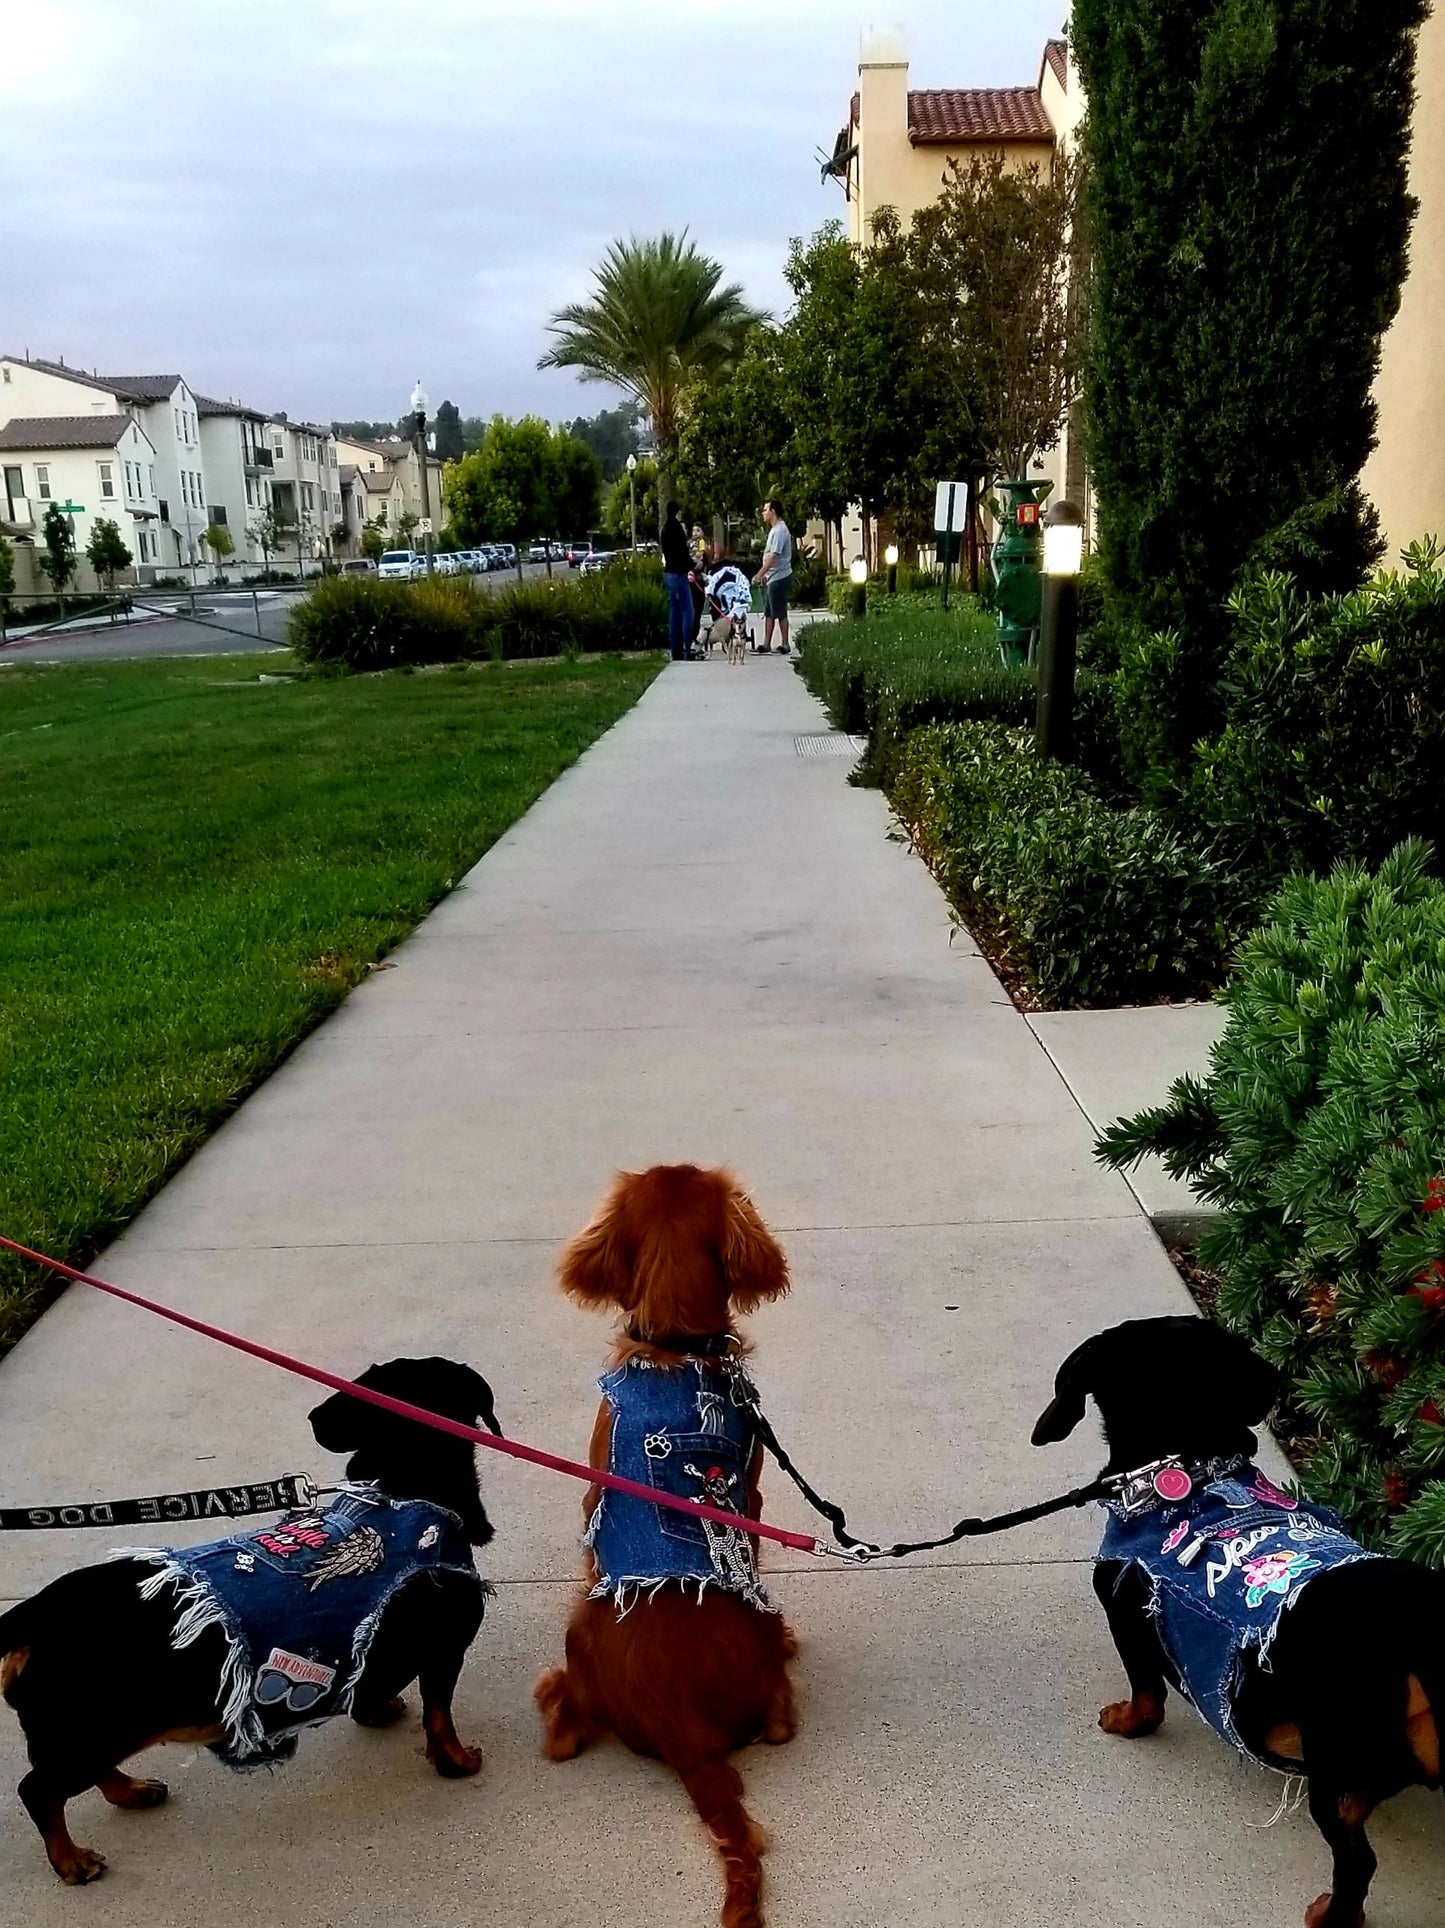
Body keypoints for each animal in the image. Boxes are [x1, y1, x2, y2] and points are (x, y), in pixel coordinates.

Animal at [1, 1357, 497, 1881]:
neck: (406, 1487)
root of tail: (35, 1614)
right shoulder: (445, 1650)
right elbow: (439, 1716)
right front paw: (458, 1761)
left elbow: (370, 1686)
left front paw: (377, 1711)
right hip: (93, 1729)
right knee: (37, 1790)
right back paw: (71, 1860)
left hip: (93, 1732)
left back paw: (131, 1793)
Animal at [1034, 1318, 1443, 1920]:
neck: (1188, 1468)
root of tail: (1419, 1627)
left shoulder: (1126, 1617)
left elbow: (1145, 1691)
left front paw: (1127, 1721)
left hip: (1333, 1773)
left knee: (1357, 1862)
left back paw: (1330, 1914)